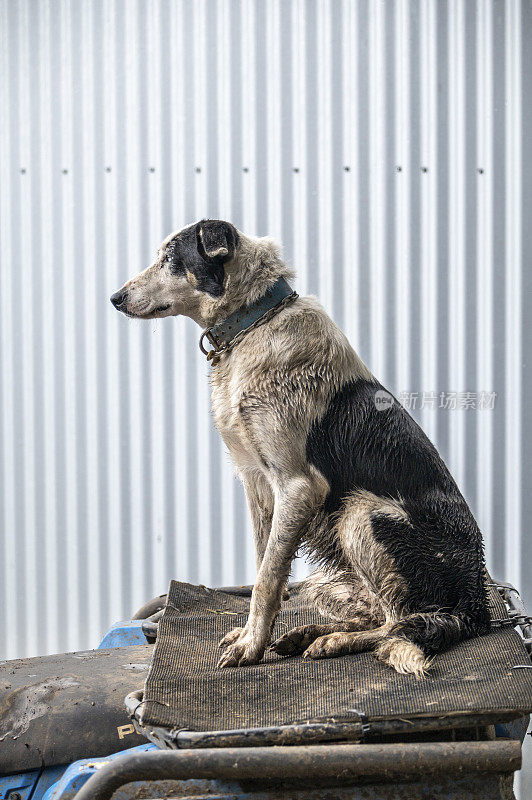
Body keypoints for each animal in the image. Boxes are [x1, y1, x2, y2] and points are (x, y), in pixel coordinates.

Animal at [111, 222, 490, 680]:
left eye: (171, 258)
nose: (114, 298)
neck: (253, 323)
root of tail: (478, 602)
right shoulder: (257, 483)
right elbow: (264, 567)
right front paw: (252, 635)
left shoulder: (297, 485)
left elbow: (267, 579)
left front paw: (251, 647)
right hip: (332, 579)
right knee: (378, 612)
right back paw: (308, 633)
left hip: (361, 514)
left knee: (399, 621)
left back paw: (333, 641)